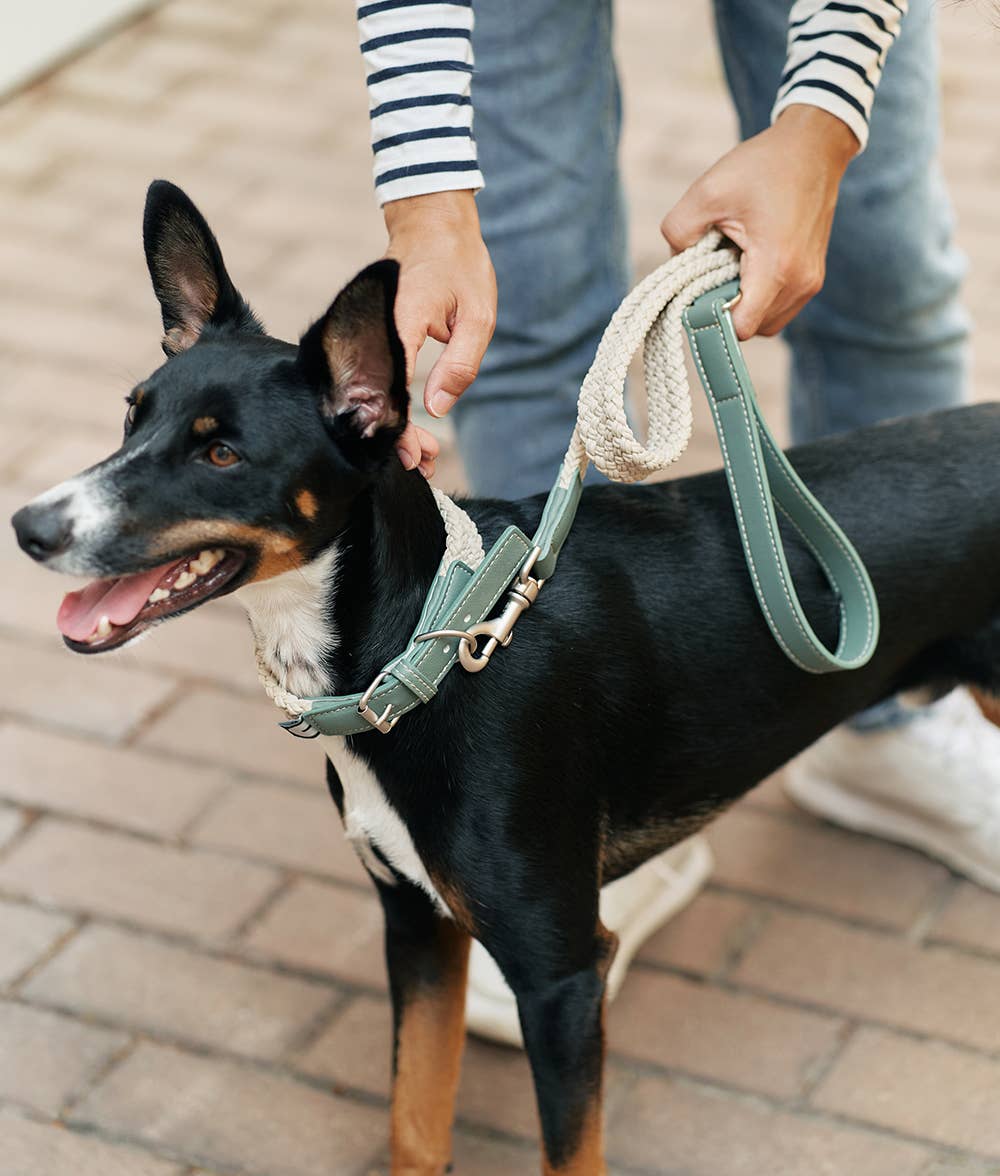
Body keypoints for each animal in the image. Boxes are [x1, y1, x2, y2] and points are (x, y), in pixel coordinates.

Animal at [11, 176, 997, 1176]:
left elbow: (568, 1154)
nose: (30, 526)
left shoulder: (560, 979)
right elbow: (414, 1120)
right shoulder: (417, 924)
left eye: (221, 453)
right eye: (132, 415)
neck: (425, 654)